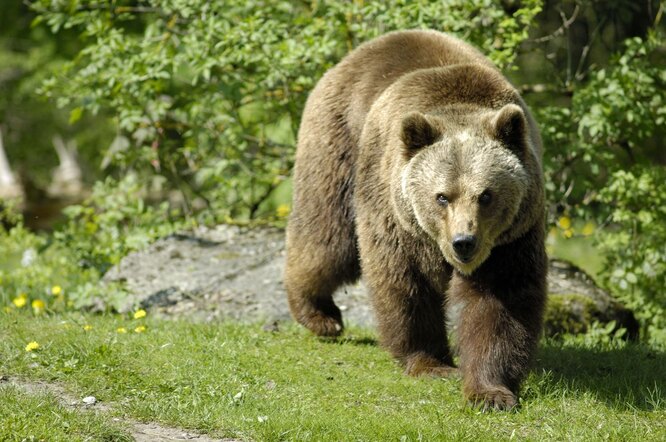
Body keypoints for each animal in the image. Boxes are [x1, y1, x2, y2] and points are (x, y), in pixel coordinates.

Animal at [282, 30, 544, 410]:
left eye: (486, 195)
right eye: (442, 196)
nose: (464, 243)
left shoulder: (511, 237)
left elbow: (500, 303)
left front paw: (490, 392)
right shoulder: (398, 217)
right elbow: (405, 281)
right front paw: (431, 363)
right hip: (339, 148)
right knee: (328, 240)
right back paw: (321, 315)